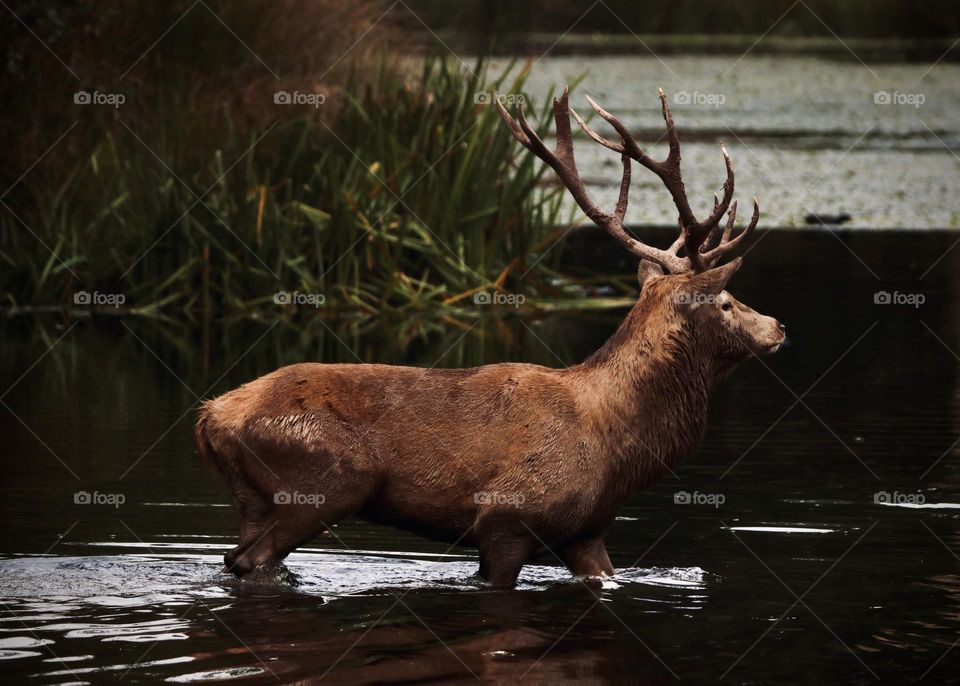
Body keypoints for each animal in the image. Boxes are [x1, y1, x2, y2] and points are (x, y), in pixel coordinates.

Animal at [195, 87, 787, 587]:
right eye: (727, 301)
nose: (778, 326)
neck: (616, 447)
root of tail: (209, 417)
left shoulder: (586, 533)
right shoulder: (508, 517)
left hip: (253, 497)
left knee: (236, 557)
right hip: (327, 481)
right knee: (249, 559)